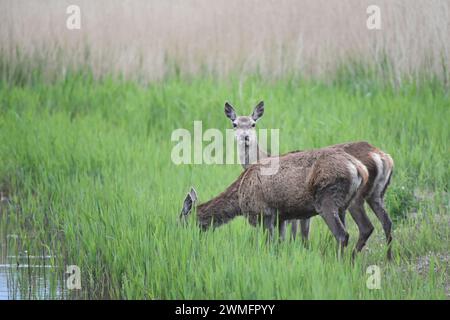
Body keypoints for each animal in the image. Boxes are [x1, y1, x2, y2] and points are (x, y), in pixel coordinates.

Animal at [179, 149, 376, 256]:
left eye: (181, 219)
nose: (179, 235)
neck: (239, 200)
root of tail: (359, 169)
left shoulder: (263, 213)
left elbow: (268, 244)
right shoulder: (281, 217)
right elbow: (279, 244)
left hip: (327, 199)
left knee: (343, 235)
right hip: (344, 204)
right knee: (362, 229)